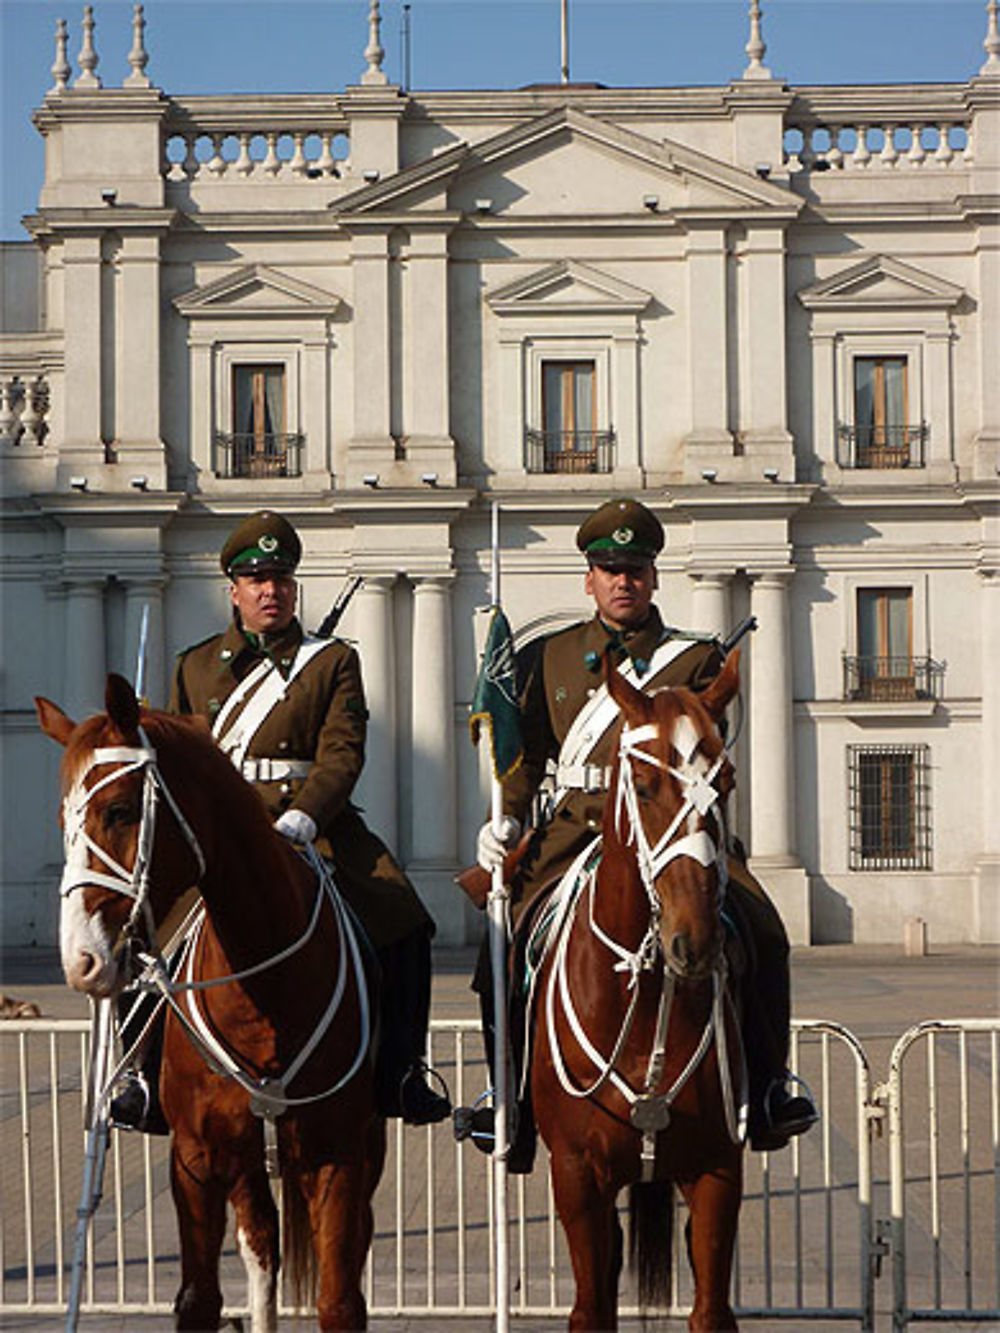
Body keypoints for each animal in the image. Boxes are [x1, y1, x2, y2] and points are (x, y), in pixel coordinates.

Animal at [36, 677, 386, 1333]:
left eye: (118, 810)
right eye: (62, 819)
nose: (81, 960)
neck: (265, 996)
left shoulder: (338, 1157)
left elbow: (339, 1300)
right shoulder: (196, 1162)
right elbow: (199, 1299)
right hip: (247, 1168)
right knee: (262, 1252)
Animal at [536, 650, 746, 1327]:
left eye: (726, 783)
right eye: (647, 787)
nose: (694, 942)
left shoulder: (717, 1170)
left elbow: (711, 1310)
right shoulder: (577, 1176)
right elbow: (591, 1309)